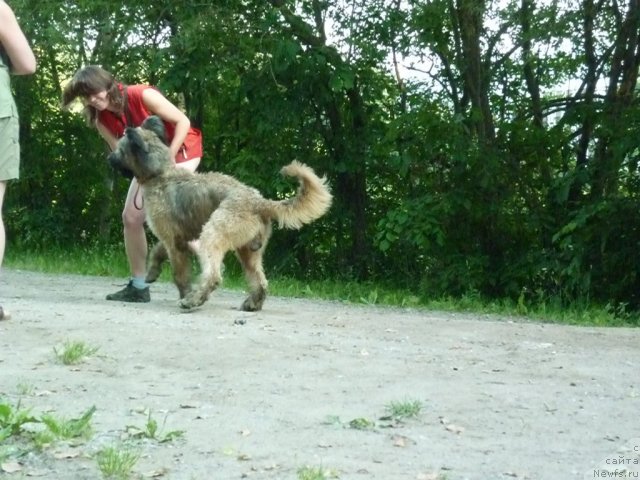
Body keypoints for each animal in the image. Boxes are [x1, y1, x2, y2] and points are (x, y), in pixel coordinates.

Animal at [107, 116, 332, 312]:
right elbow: (157, 251)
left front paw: (184, 293)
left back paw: (193, 300)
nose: (108, 157)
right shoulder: (179, 237)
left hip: (213, 234)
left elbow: (179, 273)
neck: (160, 173)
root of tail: (259, 202)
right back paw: (252, 303)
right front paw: (152, 272)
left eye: (120, 149)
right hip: (249, 252)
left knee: (214, 275)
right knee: (259, 280)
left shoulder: (173, 240)